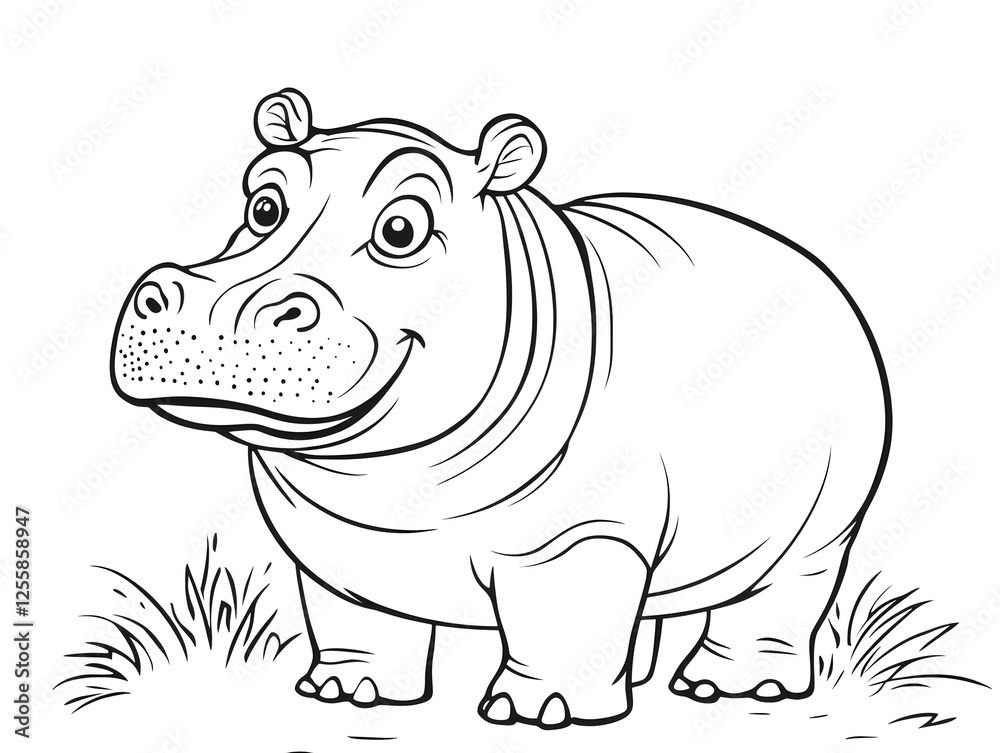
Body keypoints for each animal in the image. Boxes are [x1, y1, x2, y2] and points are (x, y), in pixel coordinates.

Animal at [110, 88, 891, 729]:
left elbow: (560, 621)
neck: (388, 484)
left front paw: (540, 713)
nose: (208, 300)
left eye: (402, 229)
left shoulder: (579, 538)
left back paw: (730, 689)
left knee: (778, 596)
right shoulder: (330, 544)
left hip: (823, 526)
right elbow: (354, 622)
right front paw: (348, 694)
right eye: (263, 205)